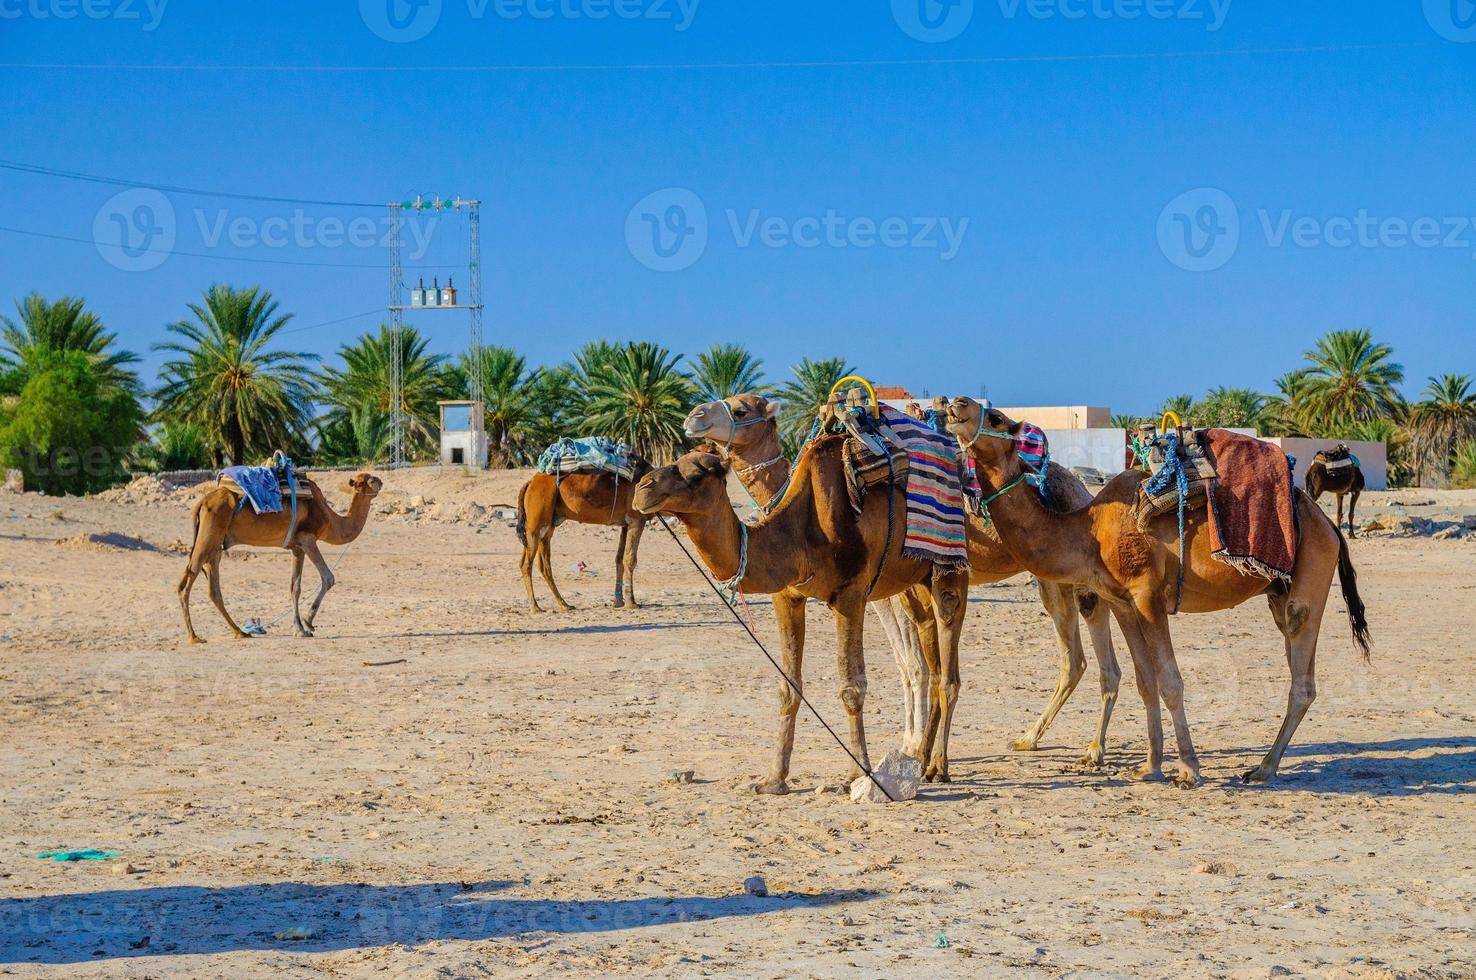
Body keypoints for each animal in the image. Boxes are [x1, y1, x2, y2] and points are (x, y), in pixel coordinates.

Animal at [176, 472, 383, 643]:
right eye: (370, 479)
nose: (381, 481)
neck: (331, 520)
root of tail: (201, 503)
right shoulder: (308, 539)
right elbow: (328, 578)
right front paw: (308, 622)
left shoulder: (297, 547)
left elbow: (295, 587)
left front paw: (299, 629)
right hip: (209, 534)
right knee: (187, 581)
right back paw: (194, 637)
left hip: (215, 544)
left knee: (213, 588)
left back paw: (239, 632)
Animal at [522, 460, 655, 613]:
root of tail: (530, 483)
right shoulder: (636, 519)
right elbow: (630, 559)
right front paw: (631, 603)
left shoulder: (626, 524)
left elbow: (619, 559)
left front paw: (619, 602)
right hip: (536, 523)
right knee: (527, 564)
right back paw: (535, 607)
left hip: (545, 527)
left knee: (542, 565)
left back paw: (564, 604)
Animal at [631, 439, 968, 791]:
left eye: (696, 475)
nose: (642, 488)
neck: (800, 533)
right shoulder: (787, 596)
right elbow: (788, 688)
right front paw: (773, 779)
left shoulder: (850, 595)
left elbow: (852, 687)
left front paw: (858, 773)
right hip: (917, 581)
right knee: (933, 657)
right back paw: (922, 761)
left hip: (950, 569)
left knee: (949, 670)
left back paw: (938, 767)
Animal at [684, 395, 1121, 767]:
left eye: (740, 409)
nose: (694, 416)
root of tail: (1081, 487)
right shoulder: (898, 589)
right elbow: (913, 663)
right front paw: (913, 744)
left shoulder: (884, 590)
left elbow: (912, 664)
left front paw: (912, 745)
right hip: (1050, 578)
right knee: (1072, 658)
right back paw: (1030, 738)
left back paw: (1094, 749)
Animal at [944, 398, 1369, 791]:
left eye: (997, 417)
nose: (954, 404)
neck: (1088, 531)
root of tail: (1328, 525)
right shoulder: (1122, 602)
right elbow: (1145, 681)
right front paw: (1149, 767)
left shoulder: (1148, 596)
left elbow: (1170, 682)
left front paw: (1188, 770)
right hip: (1276, 592)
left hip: (1307, 585)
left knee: (1302, 681)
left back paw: (1263, 768)